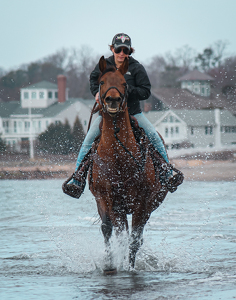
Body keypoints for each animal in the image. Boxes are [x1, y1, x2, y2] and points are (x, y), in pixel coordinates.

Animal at [87, 55, 169, 272]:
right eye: (101, 82)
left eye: (125, 83)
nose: (113, 100)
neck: (117, 158)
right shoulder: (106, 199)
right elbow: (108, 229)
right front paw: (109, 263)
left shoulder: (142, 202)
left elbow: (134, 239)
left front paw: (130, 268)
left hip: (150, 205)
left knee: (136, 236)